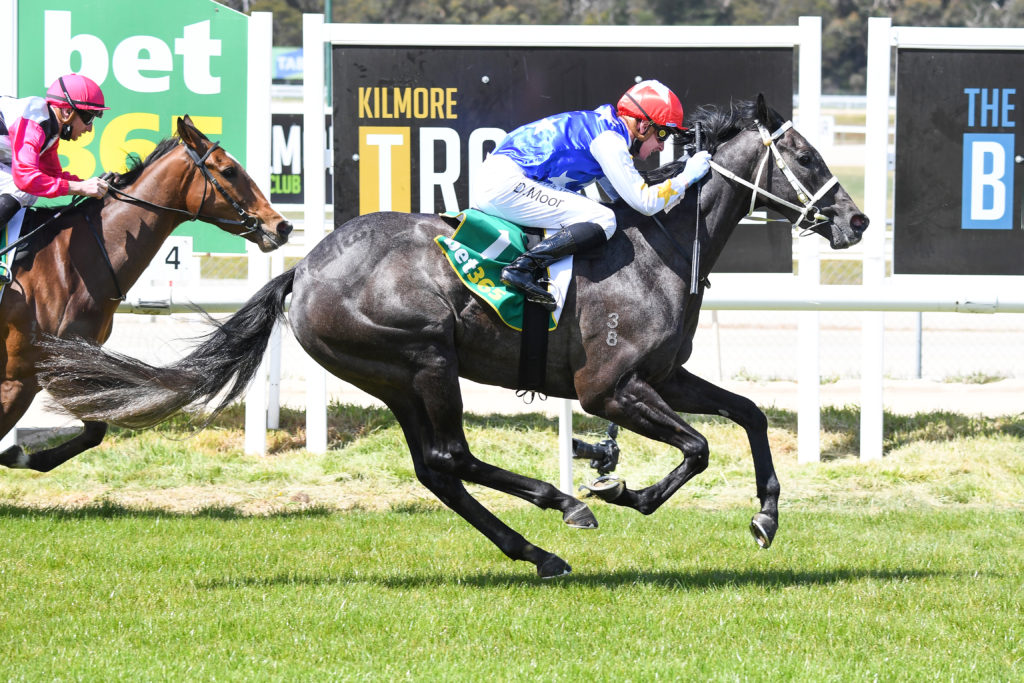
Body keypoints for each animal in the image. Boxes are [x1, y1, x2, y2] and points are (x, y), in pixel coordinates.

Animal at [0, 115, 292, 472]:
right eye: (229, 170)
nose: (282, 226)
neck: (70, 259)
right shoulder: (20, 376)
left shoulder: (67, 365)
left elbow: (96, 430)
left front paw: (17, 454)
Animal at [38, 96, 868, 577]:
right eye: (803, 154)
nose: (856, 219)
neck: (657, 241)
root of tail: (303, 267)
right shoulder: (610, 387)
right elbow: (695, 447)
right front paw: (621, 486)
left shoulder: (663, 376)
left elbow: (749, 414)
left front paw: (765, 514)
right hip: (425, 357)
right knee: (452, 456)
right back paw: (561, 507)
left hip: (393, 377)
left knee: (436, 468)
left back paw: (537, 549)